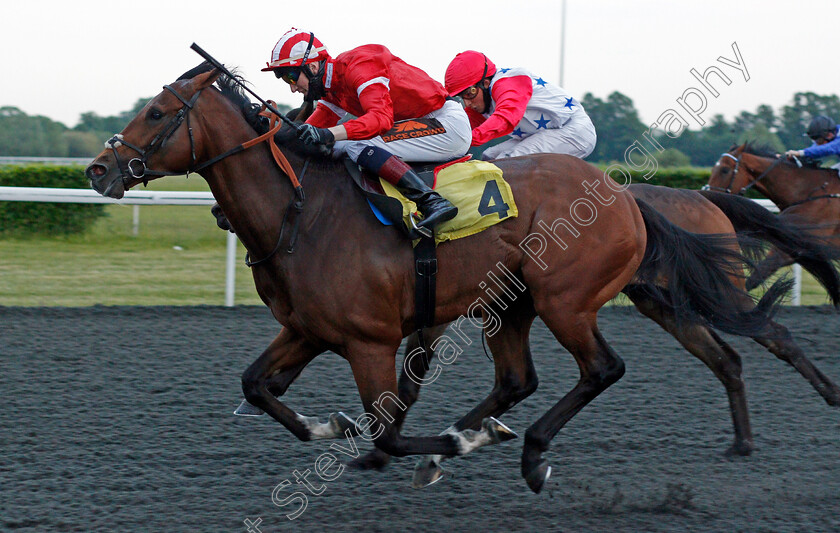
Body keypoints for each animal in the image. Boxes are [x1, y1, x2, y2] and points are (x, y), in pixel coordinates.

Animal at [87, 64, 788, 492]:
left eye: (156, 113)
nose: (97, 170)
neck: (304, 212)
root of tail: (624, 196)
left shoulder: (370, 339)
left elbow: (387, 426)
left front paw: (438, 445)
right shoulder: (309, 329)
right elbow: (258, 385)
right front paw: (335, 428)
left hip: (565, 299)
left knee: (602, 369)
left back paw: (528, 453)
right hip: (510, 304)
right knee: (518, 379)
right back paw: (480, 432)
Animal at [344, 184, 840, 482]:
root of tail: (700, 197)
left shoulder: (436, 310)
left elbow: (407, 384)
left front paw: (383, 452)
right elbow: (408, 383)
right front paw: (386, 452)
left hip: (715, 291)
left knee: (774, 333)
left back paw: (829, 395)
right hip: (664, 304)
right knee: (726, 359)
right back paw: (742, 442)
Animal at [704, 141, 840, 290]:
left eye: (725, 170)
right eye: (712, 169)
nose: (708, 196)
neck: (810, 193)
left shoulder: (790, 250)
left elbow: (752, 281)